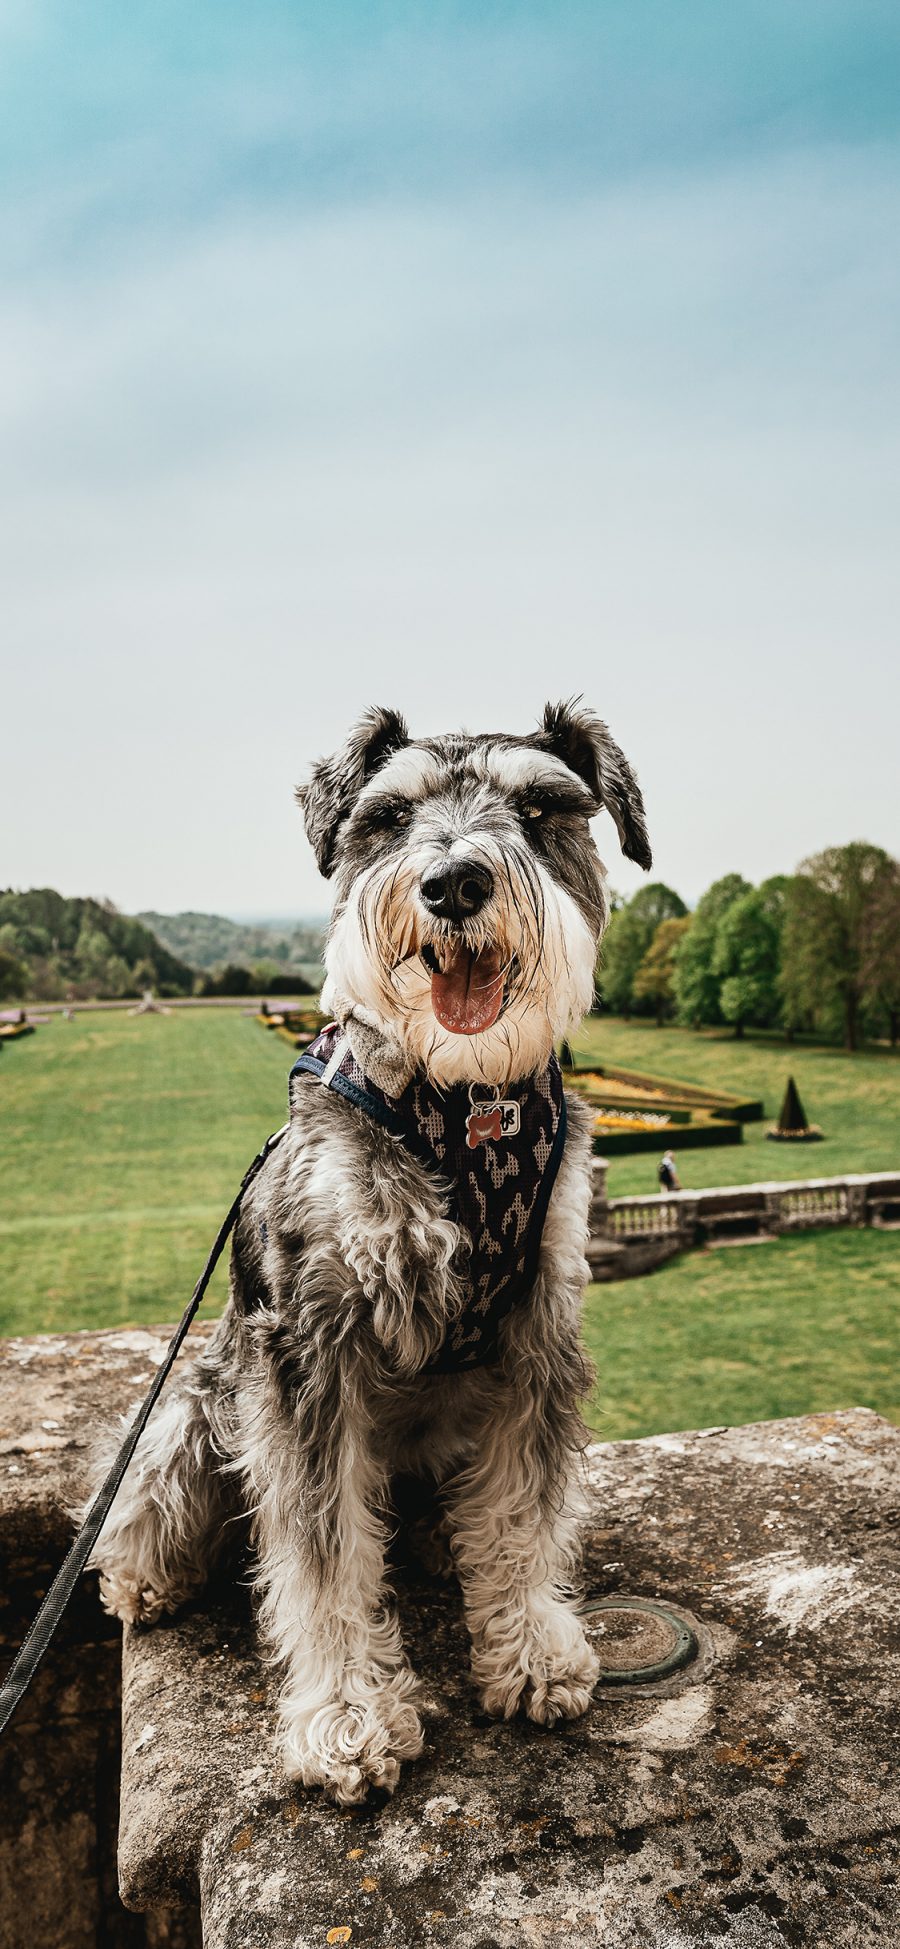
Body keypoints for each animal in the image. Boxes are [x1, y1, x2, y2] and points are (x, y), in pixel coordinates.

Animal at [91, 697, 646, 1793]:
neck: (467, 1104)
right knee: (151, 1497)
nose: (455, 882)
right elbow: (323, 1550)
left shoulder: (539, 1327)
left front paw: (528, 1648)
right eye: (387, 816)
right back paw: (142, 1577)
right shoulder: (311, 1346)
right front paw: (346, 1715)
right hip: (197, 1405)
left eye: (542, 806)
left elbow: (525, 1507)